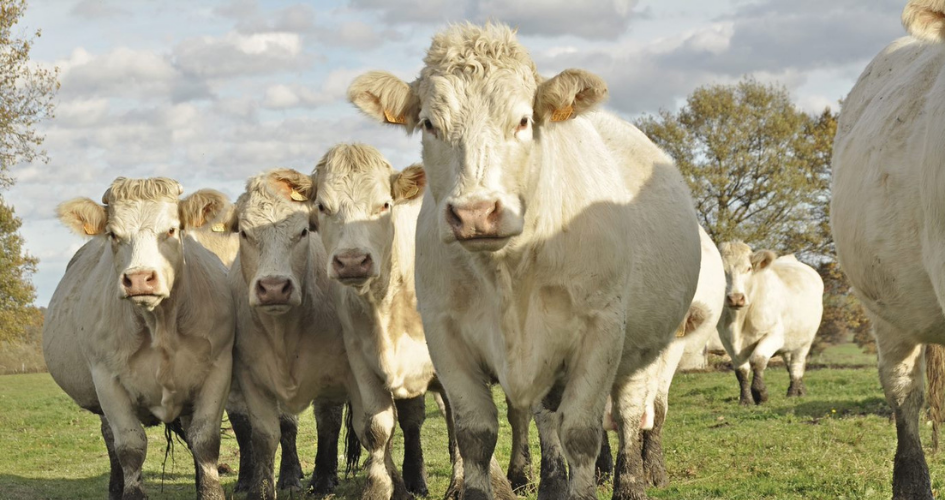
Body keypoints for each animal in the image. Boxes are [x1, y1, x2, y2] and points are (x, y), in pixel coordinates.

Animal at [45, 177, 235, 500]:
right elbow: (130, 449)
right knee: (110, 438)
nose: (139, 278)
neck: (160, 325)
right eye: (113, 234)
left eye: (171, 230)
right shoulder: (106, 380)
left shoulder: (218, 370)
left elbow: (204, 441)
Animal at [310, 142, 521, 498]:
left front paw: (476, 483)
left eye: (384, 204)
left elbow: (463, 424)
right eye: (323, 207)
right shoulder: (360, 361)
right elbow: (376, 428)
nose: (352, 261)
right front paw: (382, 487)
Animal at [348, 23, 702, 500]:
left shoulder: (601, 331)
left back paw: (631, 483)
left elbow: (582, 434)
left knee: (629, 413)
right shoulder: (445, 337)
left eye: (522, 120)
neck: (507, 273)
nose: (475, 213)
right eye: (429, 124)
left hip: (642, 349)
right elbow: (475, 436)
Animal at [717, 242, 823, 405]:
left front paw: (760, 393)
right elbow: (741, 370)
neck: (738, 321)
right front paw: (746, 400)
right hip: (790, 342)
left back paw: (793, 393)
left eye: (748, 268)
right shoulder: (727, 341)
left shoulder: (774, 335)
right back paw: (800, 390)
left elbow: (757, 360)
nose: (735, 298)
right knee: (789, 363)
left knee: (796, 366)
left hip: (805, 341)